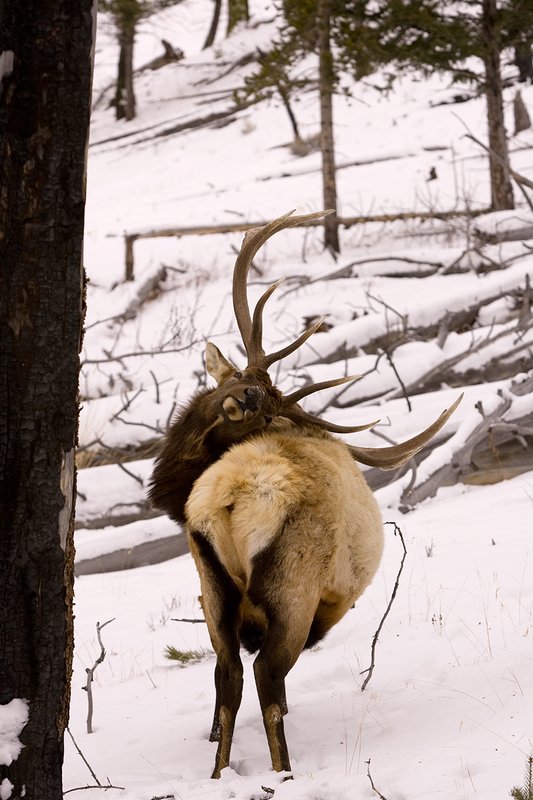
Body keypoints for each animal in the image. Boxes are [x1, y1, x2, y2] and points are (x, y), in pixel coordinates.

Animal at [149, 210, 462, 779]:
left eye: (267, 402)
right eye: (239, 377)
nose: (249, 397)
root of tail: (231, 496)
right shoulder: (326, 606)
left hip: (215, 588)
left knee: (229, 676)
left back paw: (220, 773)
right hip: (293, 590)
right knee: (267, 680)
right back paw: (283, 772)